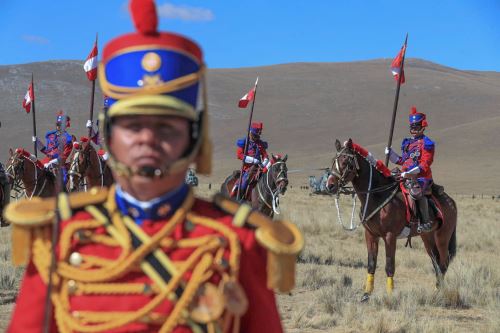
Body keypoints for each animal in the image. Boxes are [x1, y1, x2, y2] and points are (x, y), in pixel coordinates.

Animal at [326, 139, 458, 300]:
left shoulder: (390, 236)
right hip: (428, 237)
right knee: (436, 262)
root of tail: (450, 201)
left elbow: (389, 266)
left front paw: (390, 295)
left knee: (443, 262)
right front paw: (366, 294)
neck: (377, 195)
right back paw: (436, 290)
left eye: (345, 161)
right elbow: (371, 264)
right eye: (333, 161)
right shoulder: (371, 235)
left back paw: (440, 292)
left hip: (442, 237)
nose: (330, 185)